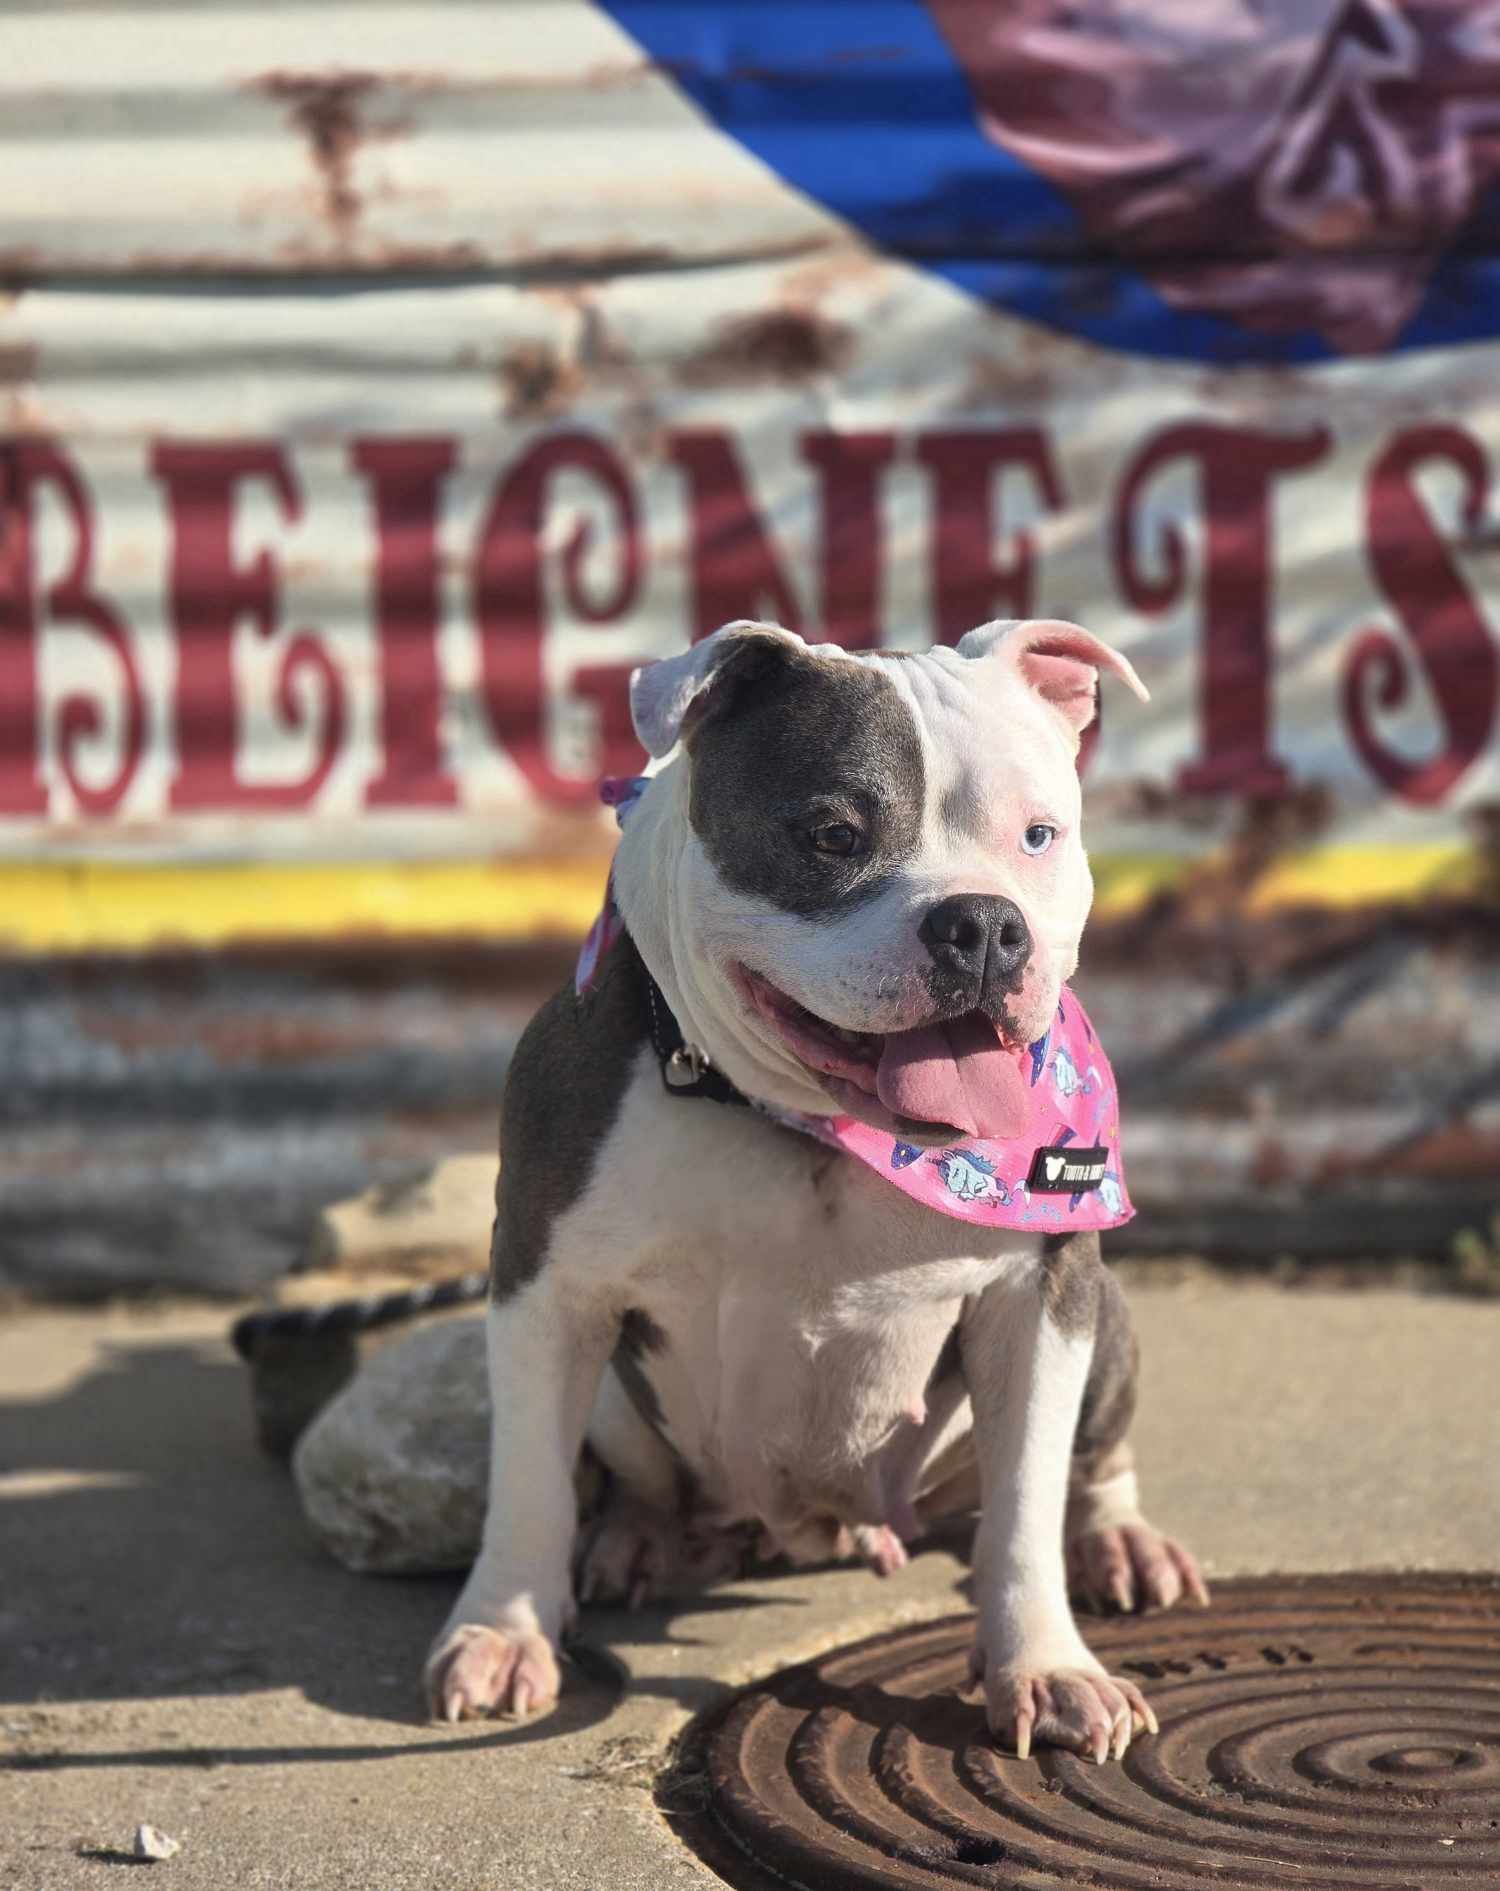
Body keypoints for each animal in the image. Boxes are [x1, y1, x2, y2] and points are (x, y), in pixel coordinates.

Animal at [421, 616, 1203, 1754]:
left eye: (1038, 836)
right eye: (834, 835)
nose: (982, 924)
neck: (816, 1128)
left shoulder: (1042, 1294)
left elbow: (1024, 1502)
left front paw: (1047, 1665)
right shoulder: (545, 1286)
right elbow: (527, 1478)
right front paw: (503, 1629)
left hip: (1105, 1318)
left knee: (1091, 1462)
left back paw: (1122, 1543)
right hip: (615, 1390)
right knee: (624, 1474)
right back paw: (637, 1538)